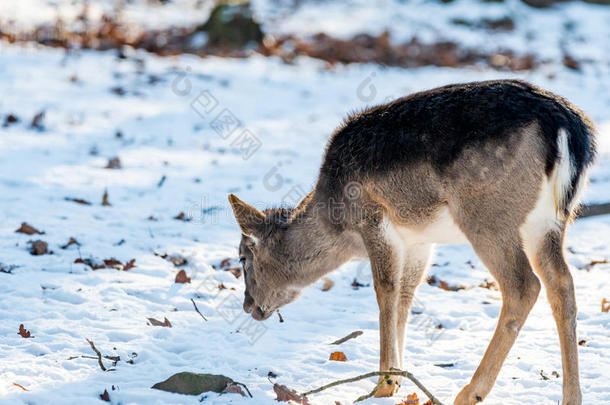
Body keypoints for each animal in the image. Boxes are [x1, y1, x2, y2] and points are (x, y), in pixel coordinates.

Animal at [226, 79, 592, 400]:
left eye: (243, 257)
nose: (248, 305)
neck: (337, 223)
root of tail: (568, 129)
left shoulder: (374, 219)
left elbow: (385, 290)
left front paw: (383, 384)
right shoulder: (418, 240)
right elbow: (406, 294)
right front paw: (399, 378)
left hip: (488, 217)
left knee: (523, 285)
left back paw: (469, 393)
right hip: (551, 221)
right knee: (562, 283)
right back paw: (571, 397)